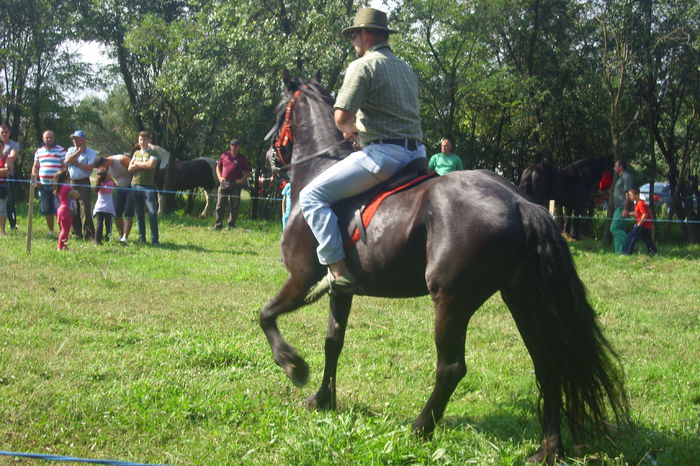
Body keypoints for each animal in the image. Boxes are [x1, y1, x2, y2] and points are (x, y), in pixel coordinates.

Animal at [258, 75, 628, 462]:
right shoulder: (339, 288)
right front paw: (322, 399)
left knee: (451, 367)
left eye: (278, 110)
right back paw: (548, 449)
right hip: (522, 298)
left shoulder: (302, 278)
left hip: (451, 300)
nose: (268, 154)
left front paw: (293, 365)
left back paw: (420, 427)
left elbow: (266, 315)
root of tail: (521, 203)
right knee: (547, 362)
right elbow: (333, 341)